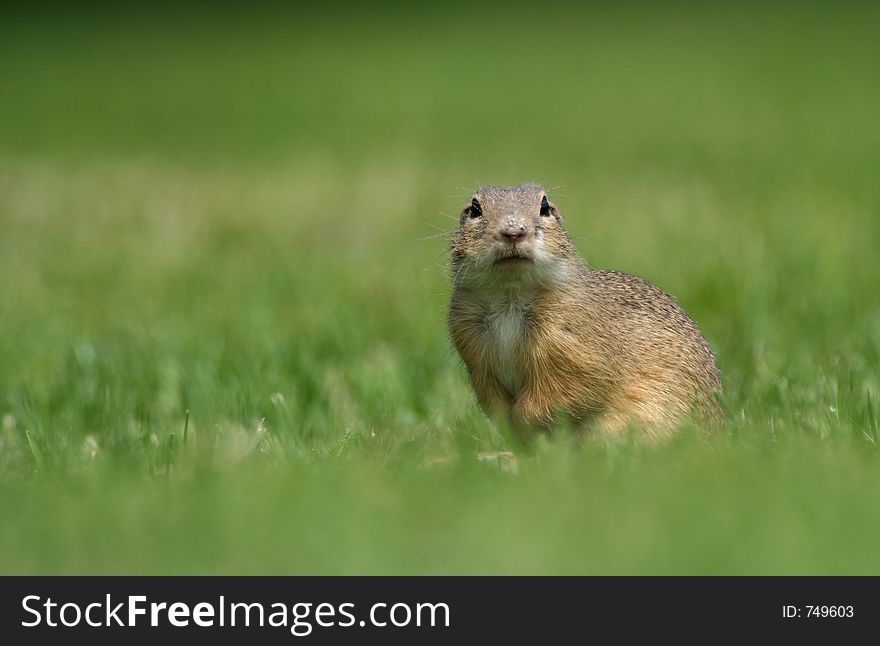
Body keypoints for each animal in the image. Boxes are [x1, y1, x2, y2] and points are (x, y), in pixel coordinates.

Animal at [446, 185, 720, 442]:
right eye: (475, 208)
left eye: (545, 206)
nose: (514, 232)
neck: (510, 297)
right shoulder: (471, 344)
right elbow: (491, 395)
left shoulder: (574, 346)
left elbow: (564, 390)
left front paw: (524, 420)